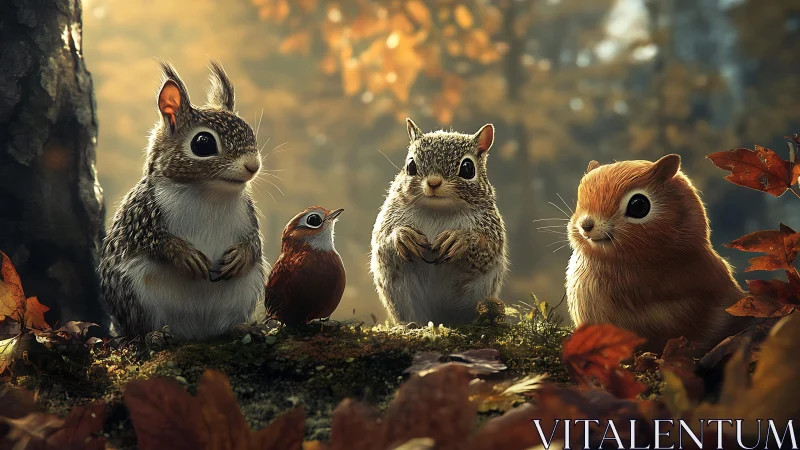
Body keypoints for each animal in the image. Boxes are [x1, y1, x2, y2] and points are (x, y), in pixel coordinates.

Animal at [99, 61, 267, 340]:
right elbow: (151, 240)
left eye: (250, 132)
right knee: (140, 327)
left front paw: (241, 256)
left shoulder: (249, 216)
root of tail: (194, 332)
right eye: (203, 142)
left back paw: (238, 328)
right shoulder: (139, 216)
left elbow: (254, 244)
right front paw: (183, 254)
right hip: (134, 294)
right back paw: (153, 335)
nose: (253, 166)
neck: (208, 193)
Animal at [370, 119, 509, 326]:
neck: (438, 210)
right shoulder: (388, 216)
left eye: (468, 168)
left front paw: (460, 239)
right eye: (410, 165)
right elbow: (382, 239)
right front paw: (403, 236)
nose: (433, 182)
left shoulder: (491, 226)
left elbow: (486, 244)